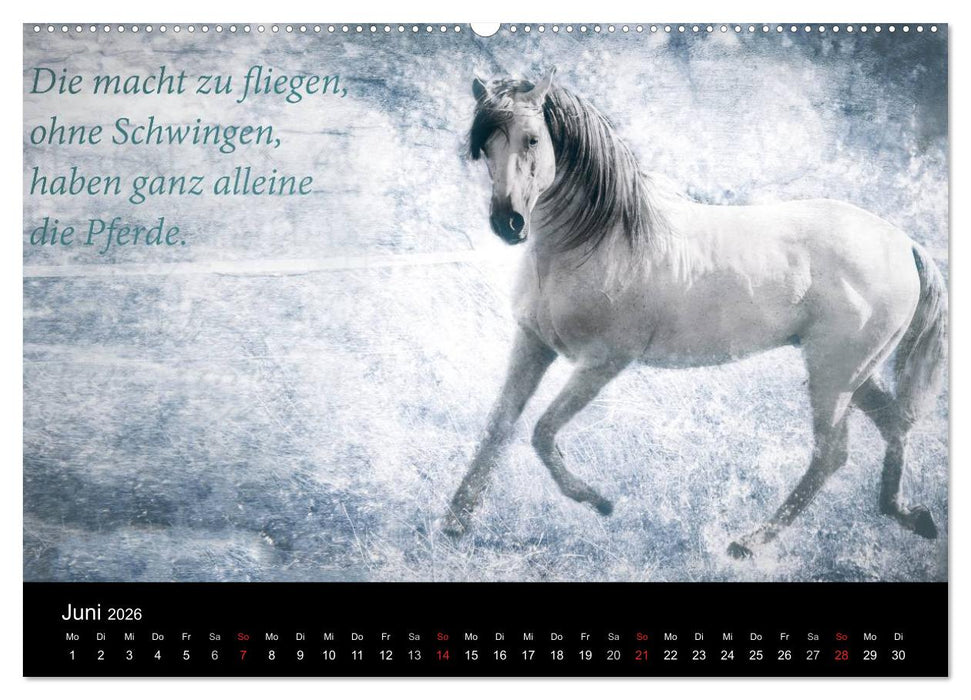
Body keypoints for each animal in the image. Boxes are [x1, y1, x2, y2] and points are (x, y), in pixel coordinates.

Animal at [441, 69, 947, 558]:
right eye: (484, 145)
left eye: (531, 139)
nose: (508, 222)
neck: (597, 240)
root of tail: (904, 243)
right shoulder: (533, 343)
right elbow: (500, 425)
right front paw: (455, 522)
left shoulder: (603, 363)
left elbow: (542, 432)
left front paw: (599, 502)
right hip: (853, 373)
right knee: (894, 423)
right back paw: (911, 516)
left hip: (834, 375)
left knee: (831, 453)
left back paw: (749, 541)